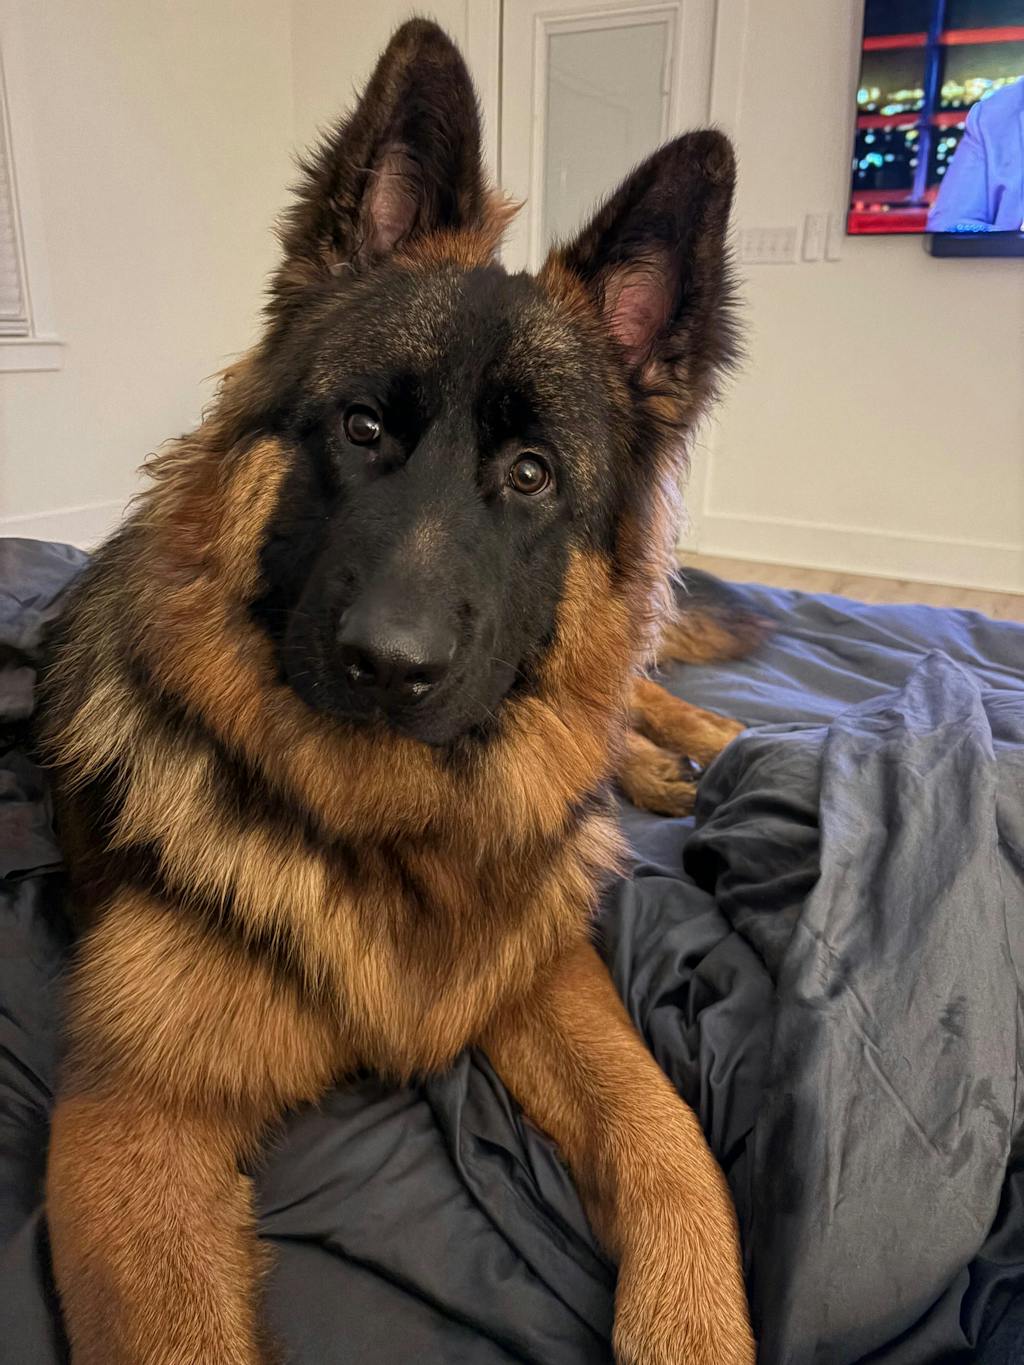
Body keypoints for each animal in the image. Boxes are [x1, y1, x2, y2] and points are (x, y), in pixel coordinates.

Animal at [39, 20, 755, 1364]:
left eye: (529, 475)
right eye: (363, 429)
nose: (387, 666)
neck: (386, 832)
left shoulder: (544, 970)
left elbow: (673, 1143)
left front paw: (691, 1324)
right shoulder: (130, 1124)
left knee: (631, 703)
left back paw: (699, 746)